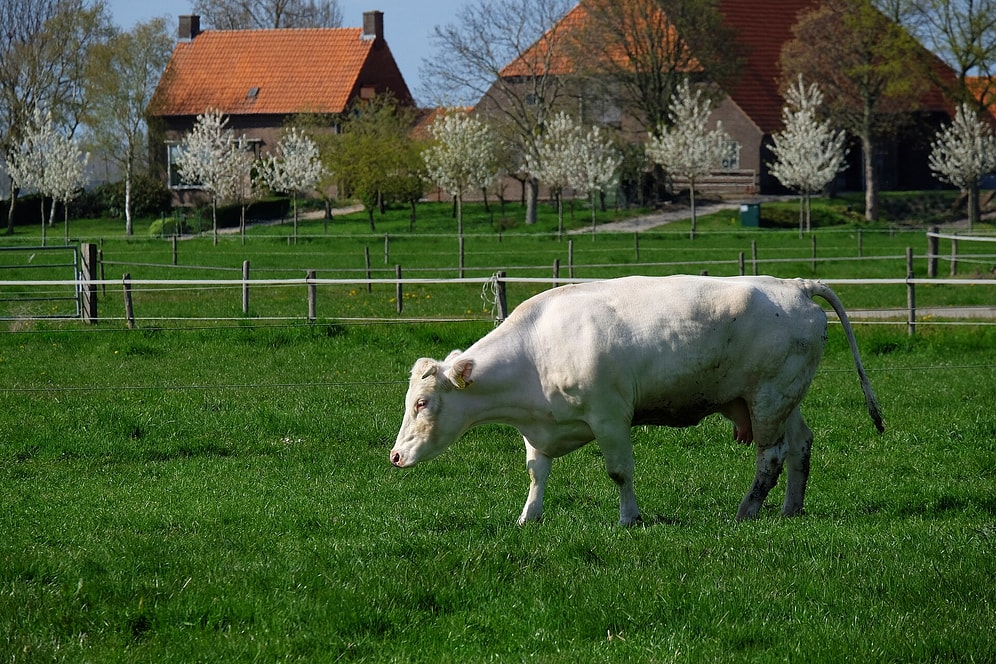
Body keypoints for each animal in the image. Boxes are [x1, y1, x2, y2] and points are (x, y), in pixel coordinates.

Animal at [390, 275, 883, 525]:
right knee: (800, 445)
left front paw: (629, 518)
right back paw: (790, 509)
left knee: (772, 456)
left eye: (422, 404)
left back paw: (747, 511)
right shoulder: (539, 428)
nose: (394, 455)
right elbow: (536, 473)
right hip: (783, 400)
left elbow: (619, 472)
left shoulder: (610, 418)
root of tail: (796, 285)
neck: (536, 349)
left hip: (768, 399)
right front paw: (528, 517)